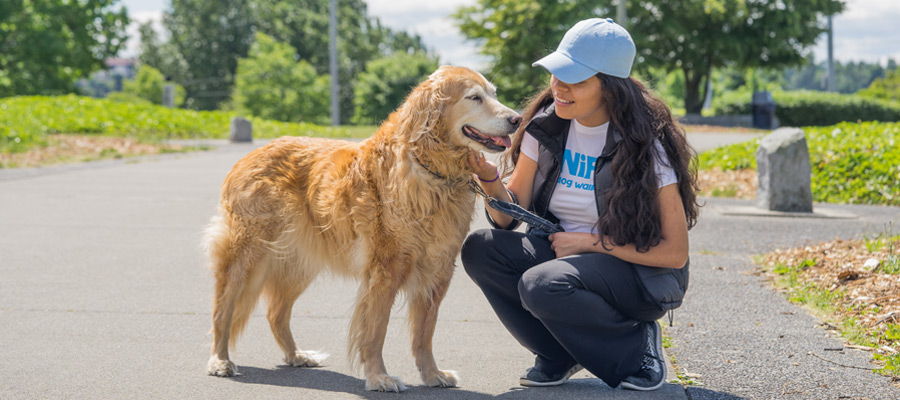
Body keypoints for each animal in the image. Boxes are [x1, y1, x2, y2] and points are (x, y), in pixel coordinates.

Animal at [202, 65, 512, 390]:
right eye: (474, 97)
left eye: (494, 94)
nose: (516, 120)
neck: (431, 170)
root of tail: (247, 157)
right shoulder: (385, 271)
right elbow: (375, 331)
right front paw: (379, 377)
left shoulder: (438, 271)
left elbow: (424, 333)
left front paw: (432, 374)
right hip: (246, 257)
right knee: (222, 311)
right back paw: (220, 361)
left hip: (297, 265)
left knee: (276, 313)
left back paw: (297, 355)